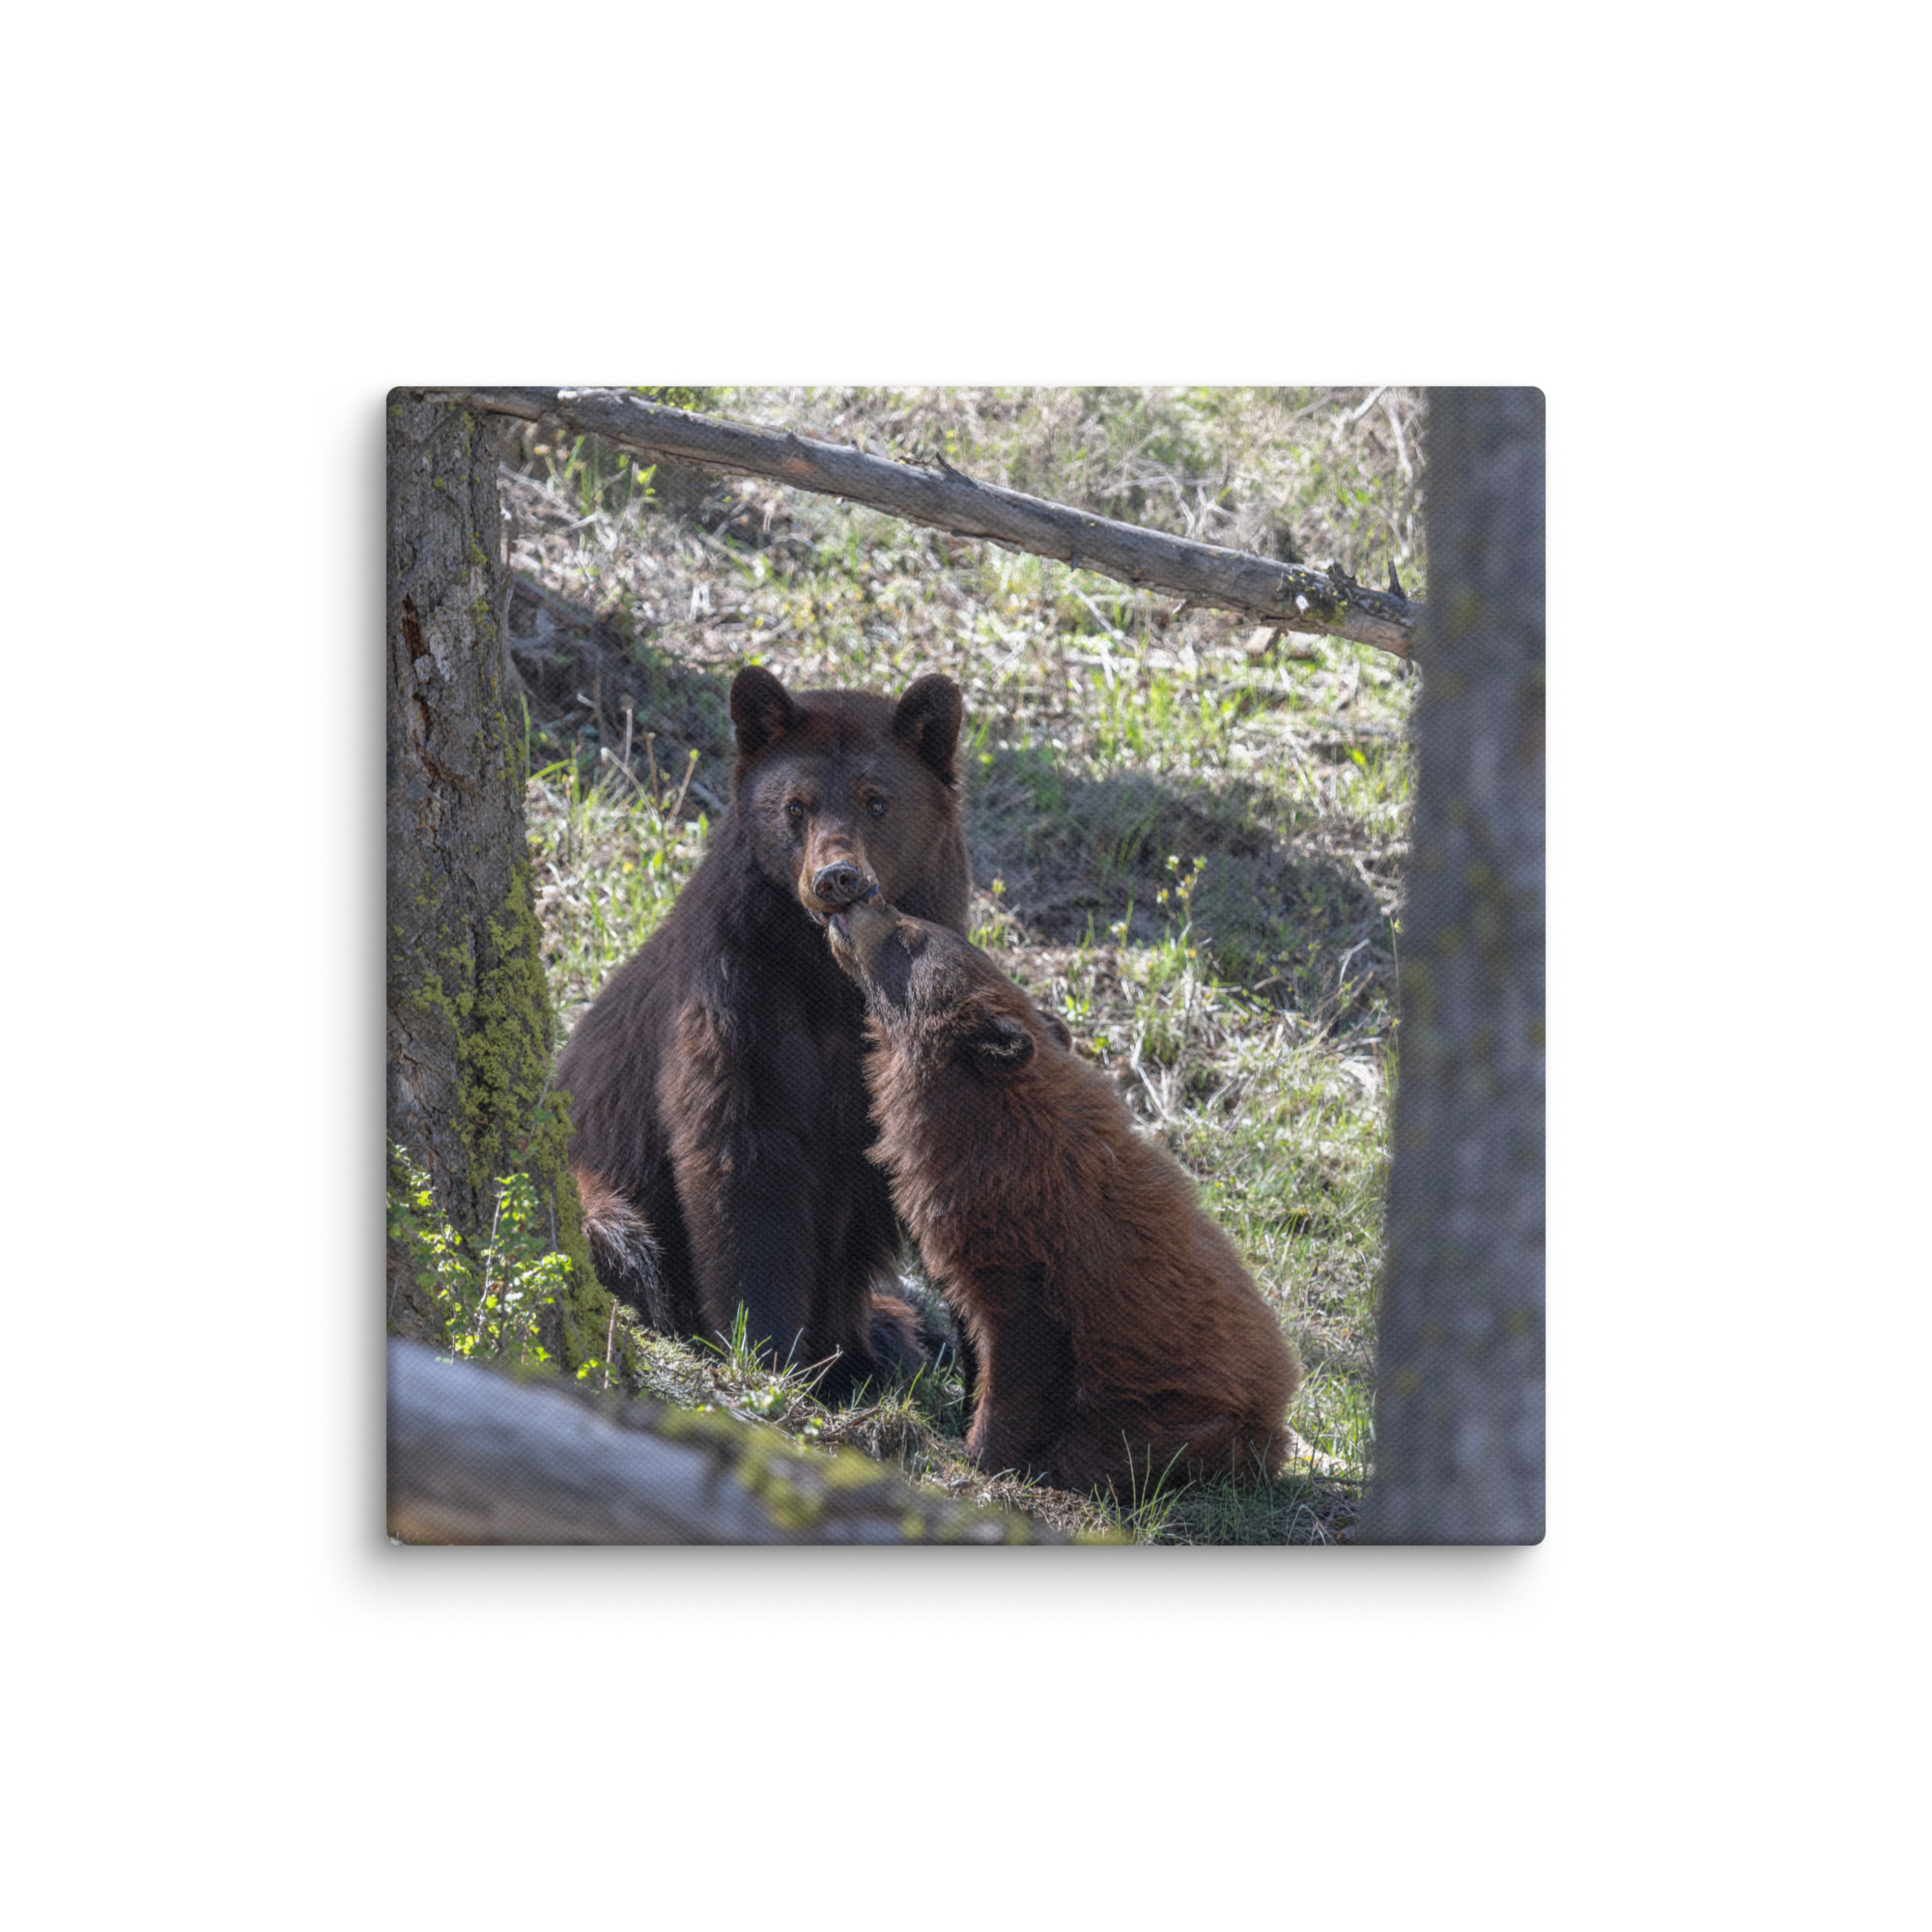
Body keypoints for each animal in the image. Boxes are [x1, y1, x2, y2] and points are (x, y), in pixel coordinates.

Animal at [554, 665, 971, 1403]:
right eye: (795, 807)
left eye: (876, 801)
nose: (837, 877)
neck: (830, 976)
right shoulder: (736, 995)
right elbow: (742, 1156)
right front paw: (769, 1350)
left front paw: (855, 1349)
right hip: (596, 1189)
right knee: (620, 1236)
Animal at [825, 887, 1301, 1494]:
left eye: (910, 936)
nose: (864, 895)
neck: (985, 1123)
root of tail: (1277, 1417)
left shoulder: (1028, 1248)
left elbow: (1021, 1354)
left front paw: (980, 1451)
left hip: (1183, 1420)